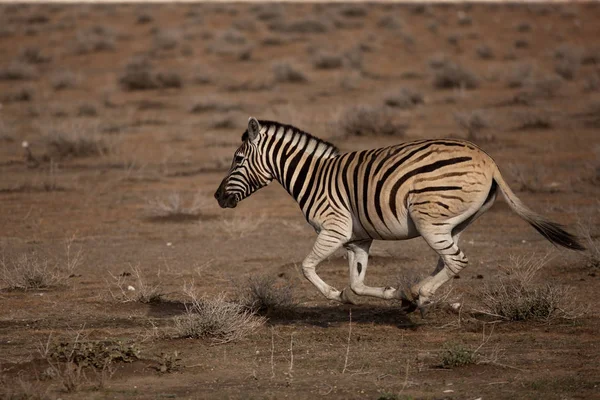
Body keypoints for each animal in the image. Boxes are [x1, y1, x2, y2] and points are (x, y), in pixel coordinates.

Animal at [216, 116, 584, 312]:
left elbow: (306, 267)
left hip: (428, 218)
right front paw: (388, 293)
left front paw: (334, 295)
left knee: (456, 261)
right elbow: (357, 282)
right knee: (447, 261)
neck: (313, 177)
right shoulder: (358, 239)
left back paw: (418, 295)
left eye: (237, 159)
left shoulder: (335, 228)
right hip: (453, 222)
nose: (217, 197)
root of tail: (488, 160)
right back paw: (417, 295)